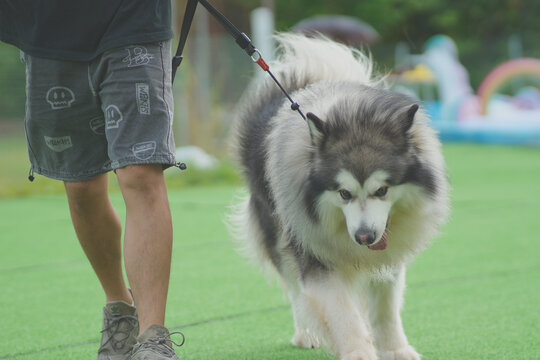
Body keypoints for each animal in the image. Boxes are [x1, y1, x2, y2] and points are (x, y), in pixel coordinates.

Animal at [226, 33, 450, 360]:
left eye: (382, 190)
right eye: (344, 193)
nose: (364, 237)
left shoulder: (389, 256)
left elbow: (385, 309)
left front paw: (395, 349)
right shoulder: (314, 252)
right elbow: (341, 312)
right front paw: (357, 351)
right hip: (279, 231)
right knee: (295, 289)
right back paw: (307, 333)